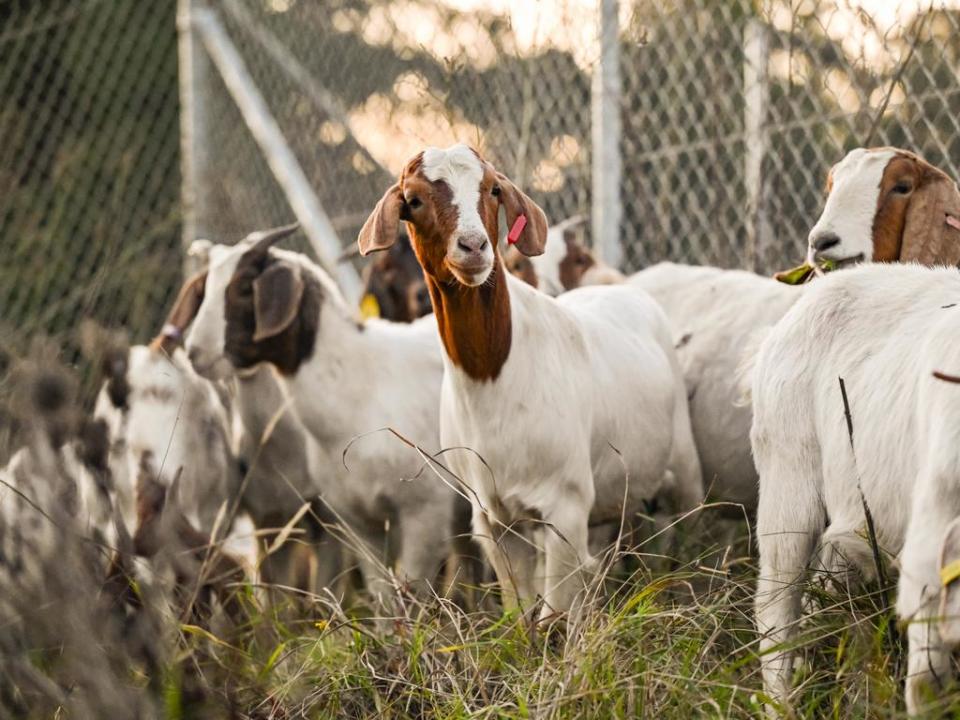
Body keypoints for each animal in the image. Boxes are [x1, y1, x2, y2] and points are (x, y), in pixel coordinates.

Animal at [356, 145, 700, 620]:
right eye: (414, 199)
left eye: (492, 189)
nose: (474, 246)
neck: (495, 375)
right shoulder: (495, 519)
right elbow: (519, 614)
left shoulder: (565, 505)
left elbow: (554, 619)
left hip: (682, 469)